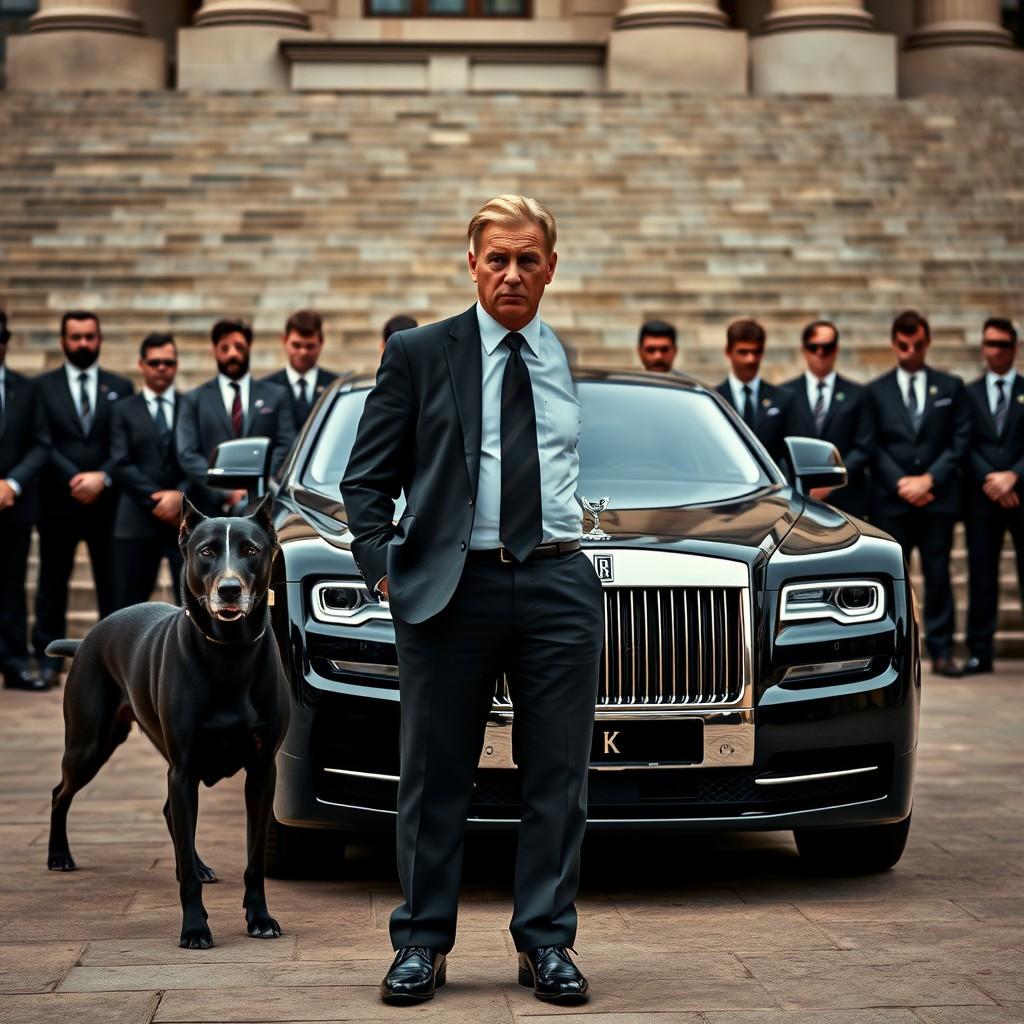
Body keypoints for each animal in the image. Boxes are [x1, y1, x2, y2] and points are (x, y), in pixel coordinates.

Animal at [45, 495, 288, 950]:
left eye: (250, 550)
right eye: (206, 551)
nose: (229, 589)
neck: (229, 652)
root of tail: (87, 638)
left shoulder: (263, 771)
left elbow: (254, 861)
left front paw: (260, 918)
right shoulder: (185, 768)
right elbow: (187, 870)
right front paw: (195, 929)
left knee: (169, 815)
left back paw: (199, 864)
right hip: (90, 745)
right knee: (59, 793)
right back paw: (59, 856)